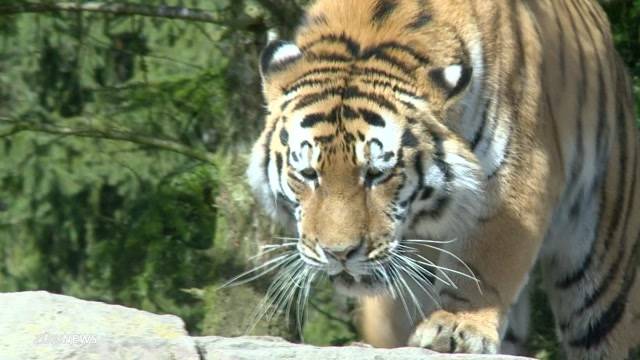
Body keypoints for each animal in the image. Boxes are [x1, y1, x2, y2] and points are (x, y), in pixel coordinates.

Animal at [245, 0, 640, 356]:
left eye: (376, 174)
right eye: (309, 174)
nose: (339, 254)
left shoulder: (518, 176)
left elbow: (480, 263)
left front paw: (457, 325)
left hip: (602, 274)